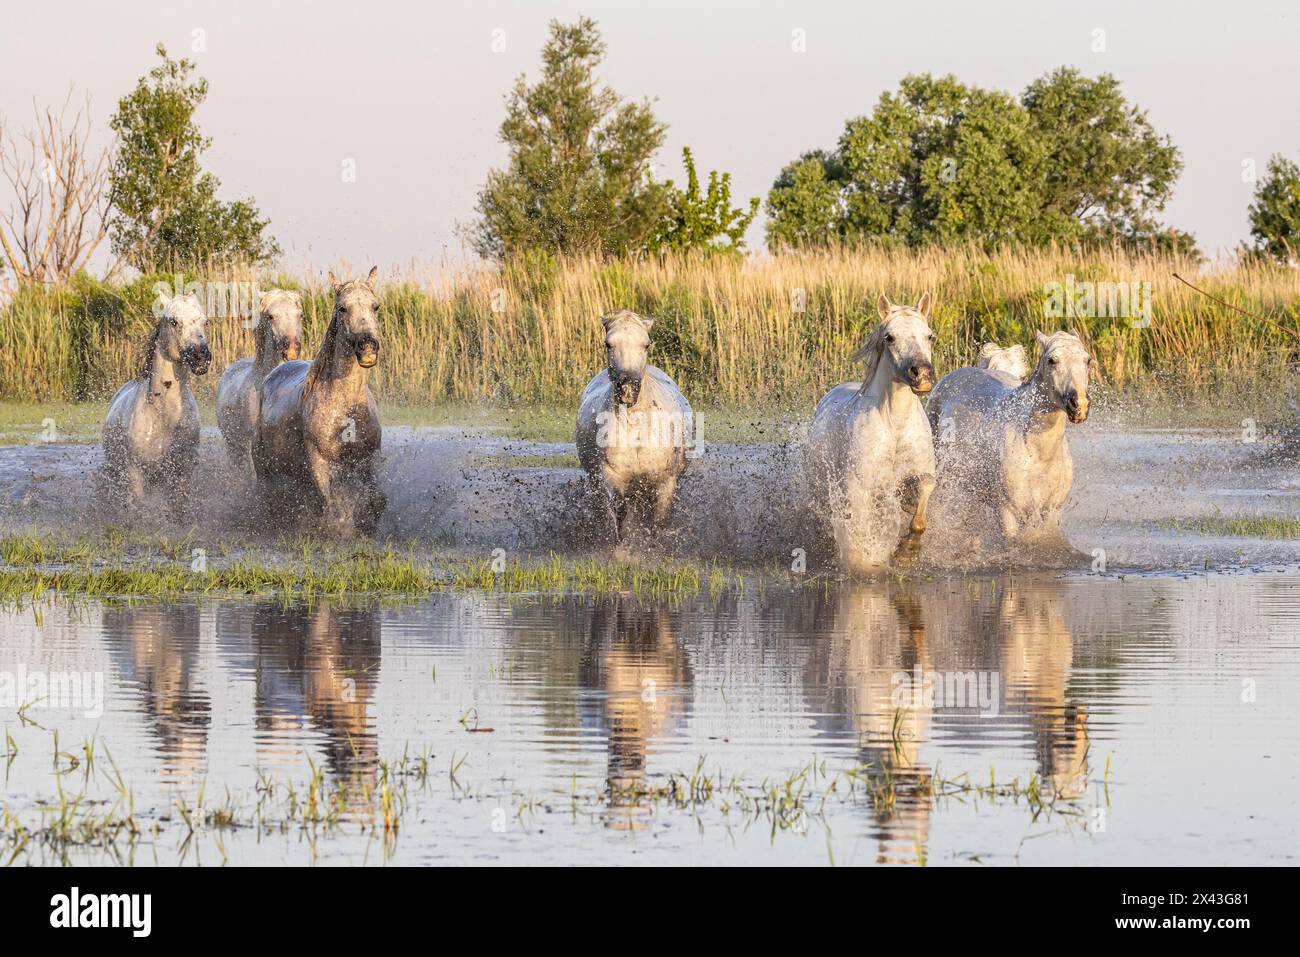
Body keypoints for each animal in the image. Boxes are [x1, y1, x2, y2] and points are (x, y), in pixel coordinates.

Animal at [104, 291, 210, 514]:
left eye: (205, 321)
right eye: (174, 321)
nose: (200, 357)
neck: (164, 416)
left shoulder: (181, 472)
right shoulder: (136, 473)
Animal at [577, 308, 696, 546]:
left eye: (646, 344)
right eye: (608, 344)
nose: (628, 389)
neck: (637, 429)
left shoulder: (665, 484)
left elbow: (658, 522)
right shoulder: (613, 478)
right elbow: (621, 514)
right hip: (597, 482)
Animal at [800, 291, 935, 574]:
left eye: (929, 336)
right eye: (889, 337)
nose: (922, 375)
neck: (894, 425)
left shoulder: (921, 473)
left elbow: (923, 495)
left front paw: (906, 553)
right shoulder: (859, 486)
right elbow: (861, 531)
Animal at [930, 330, 1092, 546]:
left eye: (1087, 360)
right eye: (1052, 360)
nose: (1079, 405)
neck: (1039, 455)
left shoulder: (1050, 513)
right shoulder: (1008, 514)